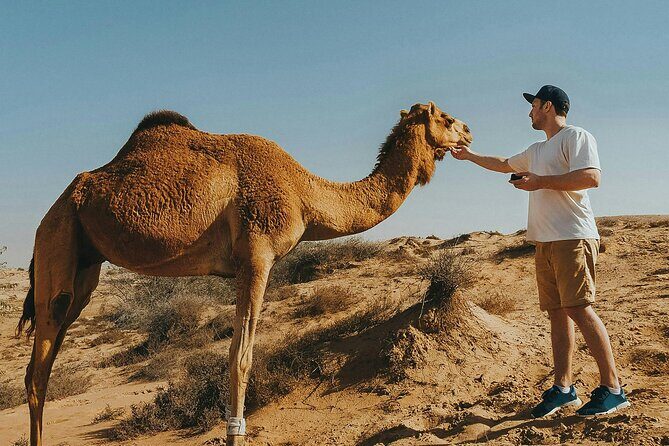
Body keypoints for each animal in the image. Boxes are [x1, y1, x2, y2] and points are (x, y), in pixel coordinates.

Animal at [16, 101, 471, 445]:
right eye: (447, 118)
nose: (469, 131)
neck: (304, 193)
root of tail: (56, 205)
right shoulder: (257, 255)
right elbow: (240, 358)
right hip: (57, 236)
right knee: (38, 369)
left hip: (84, 264)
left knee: (47, 358)